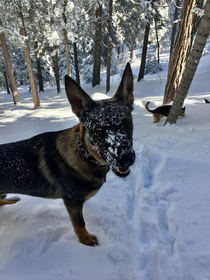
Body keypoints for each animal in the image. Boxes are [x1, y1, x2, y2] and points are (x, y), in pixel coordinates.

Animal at [0, 63, 135, 245]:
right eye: (99, 130)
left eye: (127, 123)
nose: (126, 158)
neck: (85, 155)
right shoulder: (72, 202)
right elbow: (80, 225)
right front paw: (88, 243)